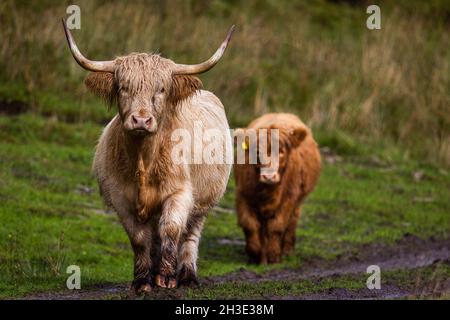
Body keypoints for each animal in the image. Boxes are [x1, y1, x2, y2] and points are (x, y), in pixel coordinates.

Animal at [62, 21, 236, 294]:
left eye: (162, 89)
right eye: (123, 88)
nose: (141, 120)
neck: (144, 161)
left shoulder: (180, 193)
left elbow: (171, 229)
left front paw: (166, 278)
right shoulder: (121, 198)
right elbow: (139, 238)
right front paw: (143, 281)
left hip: (204, 202)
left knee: (189, 234)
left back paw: (187, 276)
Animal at [236, 114, 320, 264]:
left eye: (281, 151)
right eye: (257, 152)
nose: (269, 176)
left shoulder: (289, 198)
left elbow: (277, 226)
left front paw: (274, 256)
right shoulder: (243, 195)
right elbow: (249, 224)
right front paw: (255, 255)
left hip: (298, 201)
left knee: (292, 221)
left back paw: (287, 250)